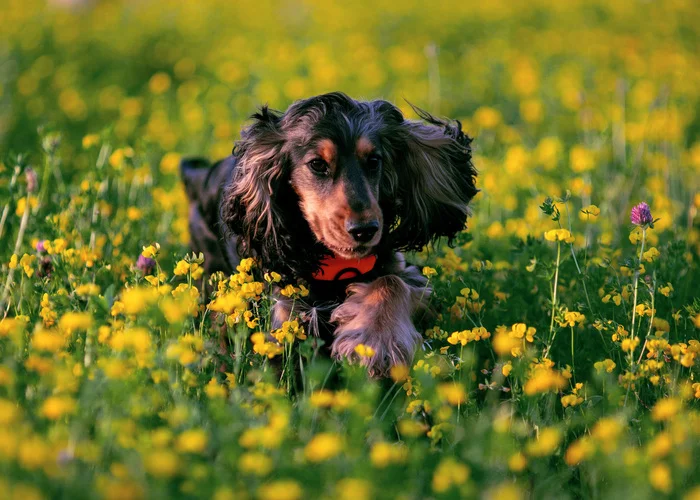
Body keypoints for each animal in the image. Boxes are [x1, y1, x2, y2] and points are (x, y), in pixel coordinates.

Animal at [180, 93, 478, 376]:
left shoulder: (395, 265)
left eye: (374, 161)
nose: (365, 230)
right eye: (317, 164)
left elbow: (392, 282)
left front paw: (376, 340)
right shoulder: (282, 299)